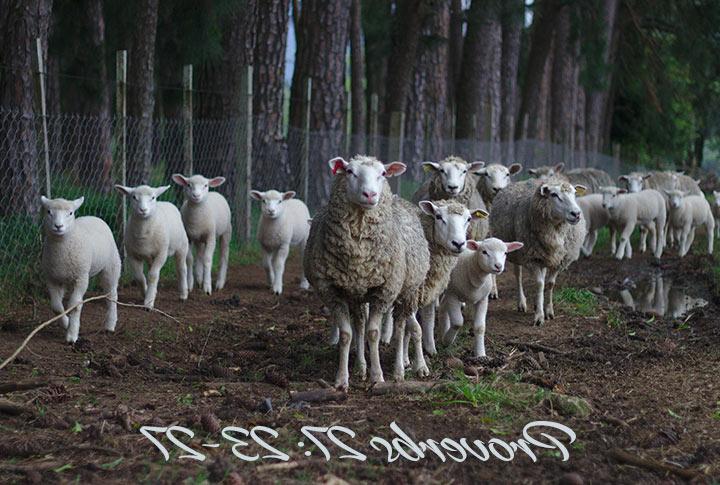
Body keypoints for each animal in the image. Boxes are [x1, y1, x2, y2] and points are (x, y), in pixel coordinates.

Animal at [39, 195, 121, 342]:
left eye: (70, 213)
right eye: (48, 212)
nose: (58, 226)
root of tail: (94, 217)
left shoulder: (81, 277)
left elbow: (74, 305)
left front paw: (72, 334)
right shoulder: (52, 278)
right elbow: (56, 306)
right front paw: (66, 323)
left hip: (111, 265)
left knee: (111, 294)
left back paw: (110, 324)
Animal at [302, 156, 428, 390]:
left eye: (383, 174)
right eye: (350, 171)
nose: (370, 194)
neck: (358, 256)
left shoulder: (384, 291)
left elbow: (374, 333)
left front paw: (377, 376)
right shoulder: (332, 292)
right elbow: (346, 335)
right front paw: (342, 380)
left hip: (407, 291)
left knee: (399, 328)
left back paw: (399, 370)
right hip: (357, 295)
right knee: (359, 325)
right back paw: (360, 367)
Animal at [486, 178, 588, 326]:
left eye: (575, 193)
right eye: (554, 195)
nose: (576, 214)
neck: (556, 230)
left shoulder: (558, 260)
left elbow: (550, 284)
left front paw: (549, 311)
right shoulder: (532, 258)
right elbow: (540, 284)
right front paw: (539, 316)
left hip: (543, 256)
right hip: (516, 250)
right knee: (518, 275)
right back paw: (521, 302)